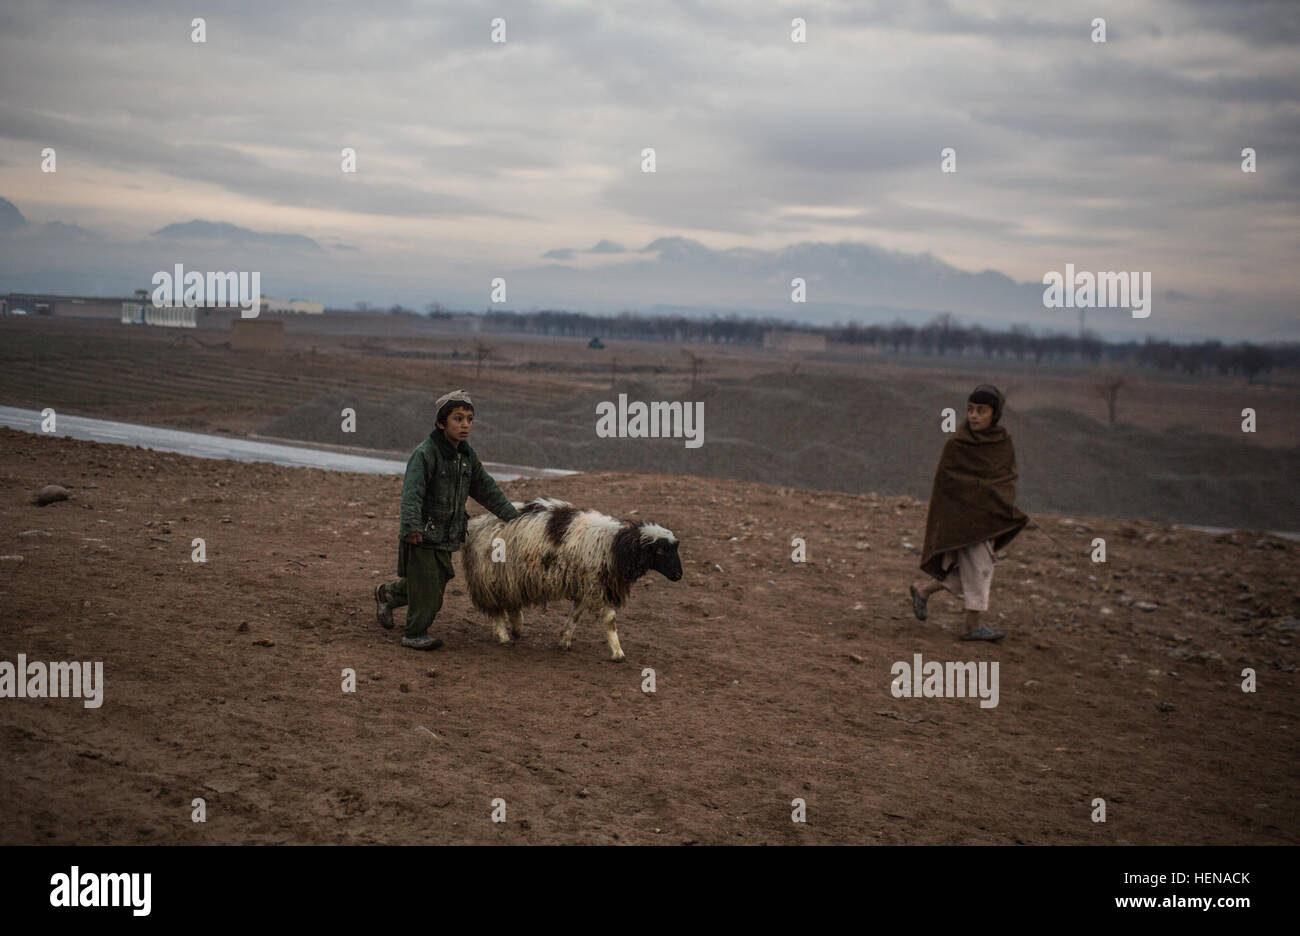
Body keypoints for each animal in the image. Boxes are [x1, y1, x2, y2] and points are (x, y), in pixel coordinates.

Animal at [460, 496, 681, 657]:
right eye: (661, 551)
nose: (679, 575)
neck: (615, 546)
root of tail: (478, 524)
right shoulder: (596, 587)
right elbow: (610, 620)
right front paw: (618, 653)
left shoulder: (587, 587)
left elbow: (576, 615)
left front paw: (564, 640)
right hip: (490, 577)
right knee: (497, 609)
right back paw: (505, 636)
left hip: (509, 578)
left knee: (511, 603)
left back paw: (516, 627)